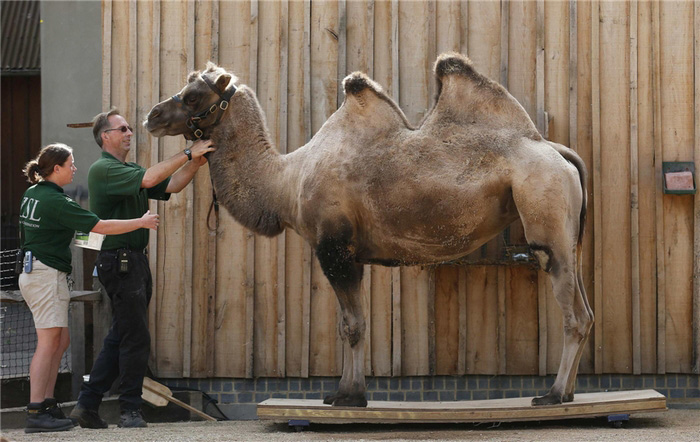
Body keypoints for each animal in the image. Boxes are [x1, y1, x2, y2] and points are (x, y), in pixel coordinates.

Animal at [145, 51, 592, 408]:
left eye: (193, 96)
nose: (151, 116)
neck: (286, 181)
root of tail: (557, 151)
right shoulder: (349, 254)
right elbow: (350, 326)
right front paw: (342, 393)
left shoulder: (334, 247)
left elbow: (353, 326)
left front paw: (350, 397)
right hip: (569, 236)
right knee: (584, 307)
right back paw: (568, 393)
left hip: (545, 209)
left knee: (573, 312)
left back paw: (552, 395)